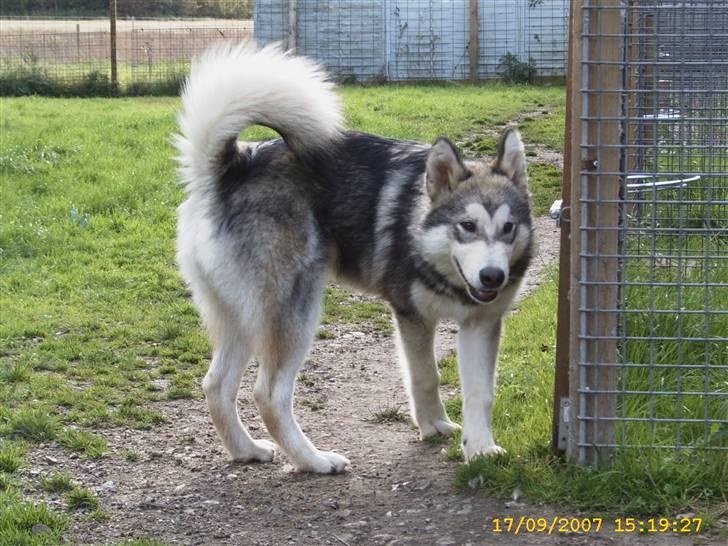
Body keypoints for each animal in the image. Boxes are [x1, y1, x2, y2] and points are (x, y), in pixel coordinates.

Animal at [173, 42, 532, 470]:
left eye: (508, 228)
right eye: (467, 226)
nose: (493, 276)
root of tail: (232, 168)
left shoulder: (481, 324)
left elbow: (481, 394)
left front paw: (480, 450)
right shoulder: (411, 317)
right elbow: (426, 375)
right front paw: (432, 426)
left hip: (243, 317)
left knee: (216, 384)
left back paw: (247, 450)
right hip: (293, 313)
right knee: (269, 395)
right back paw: (314, 461)